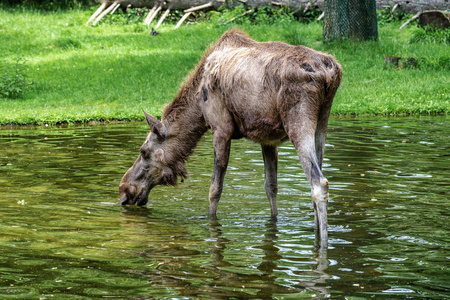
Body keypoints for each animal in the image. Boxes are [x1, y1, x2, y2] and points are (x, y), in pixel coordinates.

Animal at [119, 28, 342, 248]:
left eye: (143, 151)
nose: (124, 190)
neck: (197, 106)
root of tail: (331, 72)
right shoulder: (268, 140)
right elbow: (271, 187)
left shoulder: (220, 128)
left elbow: (214, 189)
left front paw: (211, 225)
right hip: (322, 122)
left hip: (297, 120)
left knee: (319, 183)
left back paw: (323, 246)